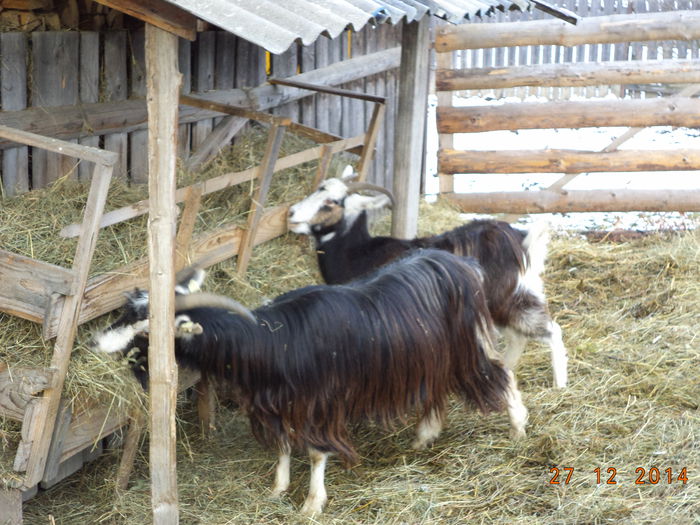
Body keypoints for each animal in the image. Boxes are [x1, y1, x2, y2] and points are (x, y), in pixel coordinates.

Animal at [95, 250, 528, 516]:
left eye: (148, 329)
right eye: (126, 310)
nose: (98, 342)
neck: (276, 341)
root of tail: (463, 264)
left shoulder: (321, 401)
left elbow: (318, 452)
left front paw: (312, 503)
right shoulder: (277, 404)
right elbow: (284, 445)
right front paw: (278, 489)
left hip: (467, 346)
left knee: (500, 374)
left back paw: (518, 427)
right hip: (431, 356)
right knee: (437, 389)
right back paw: (424, 436)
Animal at [288, 176, 568, 388]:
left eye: (330, 203)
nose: (291, 214)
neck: (358, 253)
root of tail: (522, 239)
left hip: (507, 297)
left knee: (551, 330)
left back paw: (559, 387)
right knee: (519, 337)